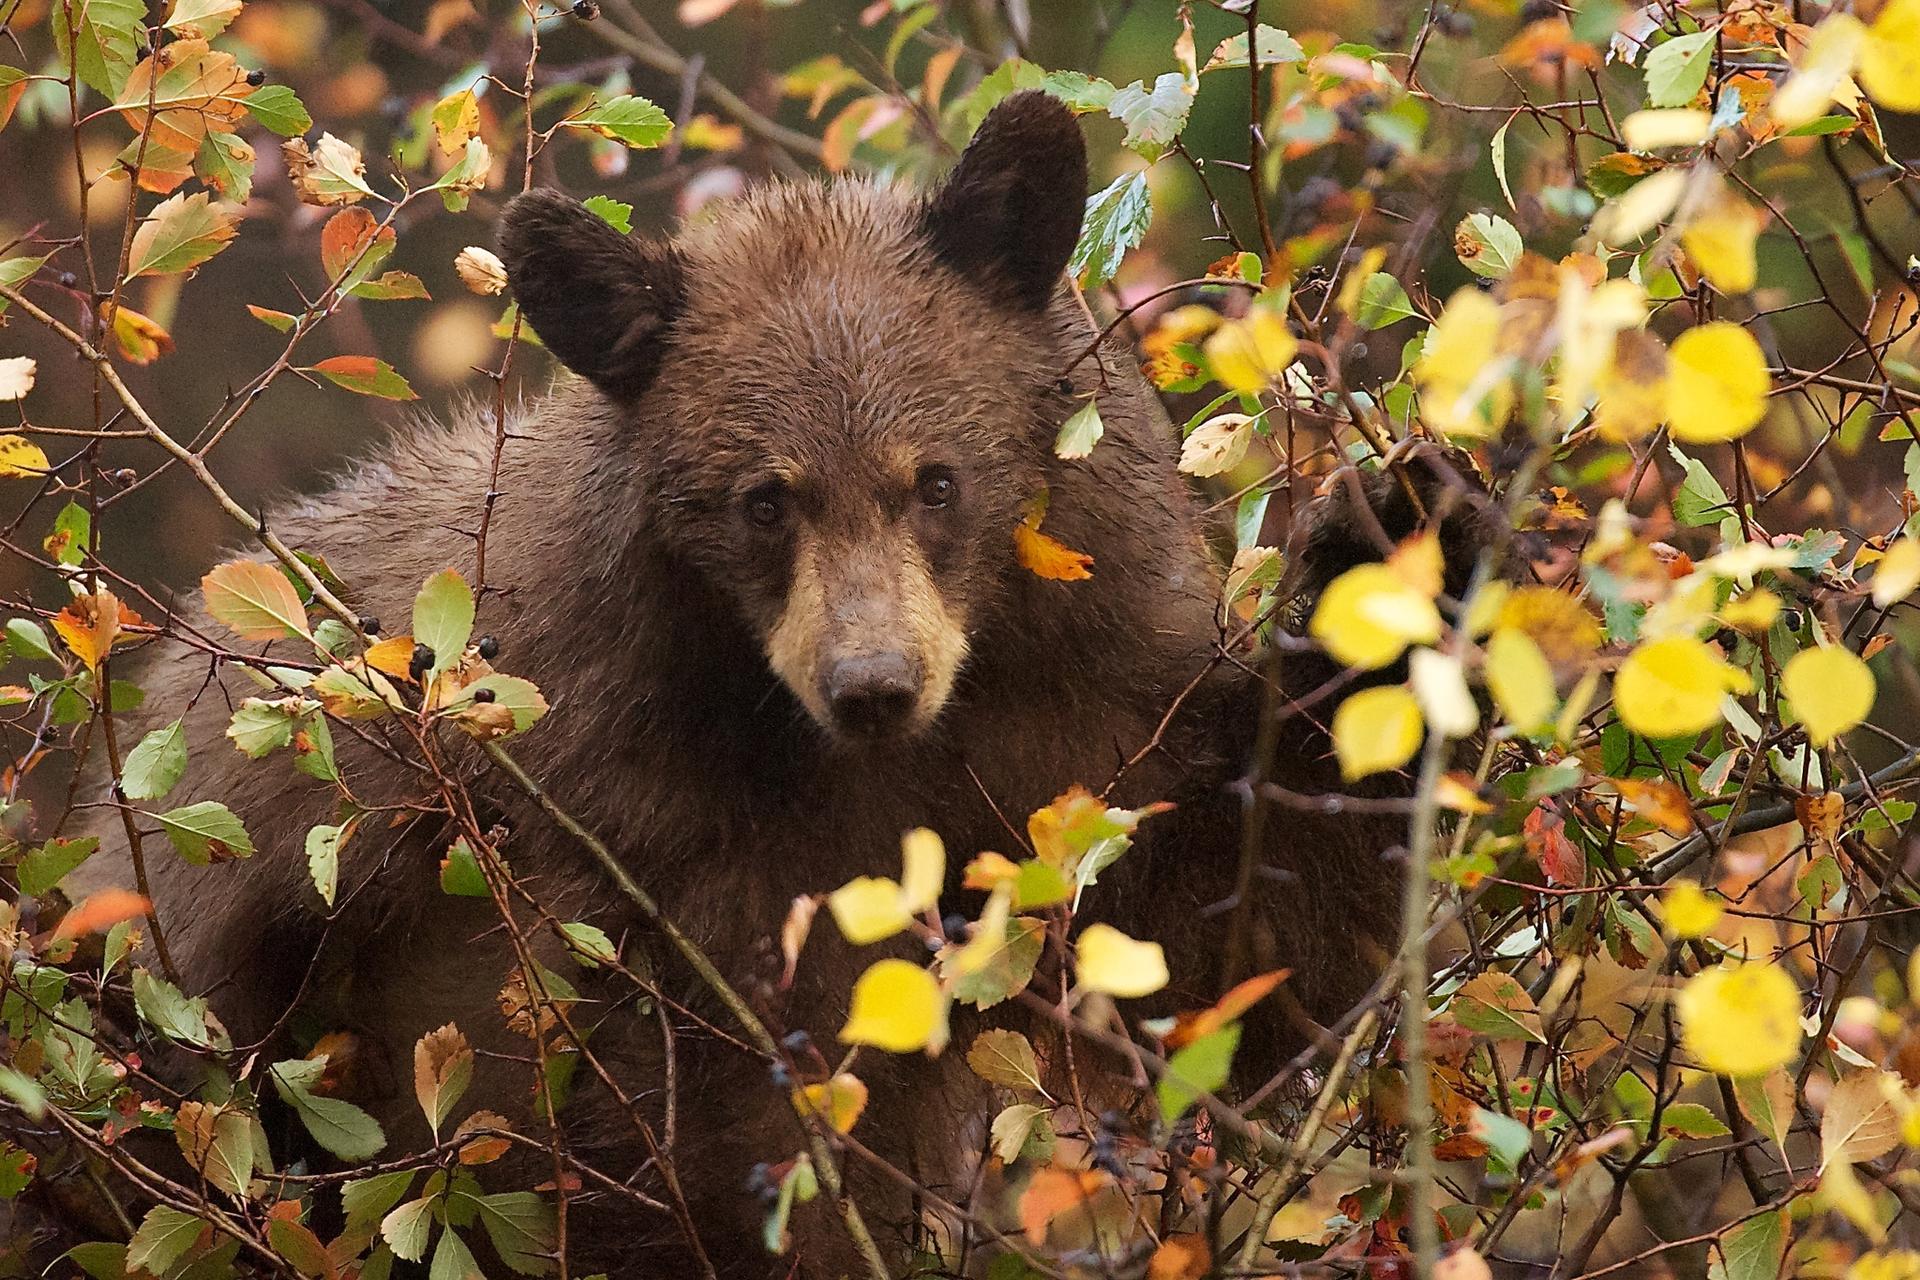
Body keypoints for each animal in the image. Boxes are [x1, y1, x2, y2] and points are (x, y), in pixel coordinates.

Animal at [56, 90, 1445, 1277]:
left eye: (937, 478)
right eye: (763, 500)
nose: (873, 682)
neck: (859, 761)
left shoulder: (1070, 723)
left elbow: (1223, 924)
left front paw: (1402, 536)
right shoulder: (614, 822)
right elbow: (666, 1118)